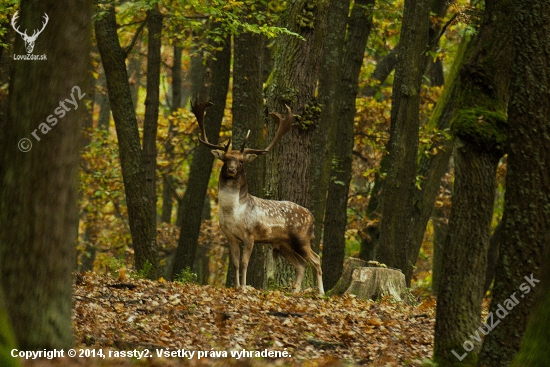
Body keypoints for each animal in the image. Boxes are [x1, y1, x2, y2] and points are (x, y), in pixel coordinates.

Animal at [193, 99, 326, 294]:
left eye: (241, 161)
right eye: (225, 159)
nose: (231, 169)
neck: (233, 212)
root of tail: (312, 217)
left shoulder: (250, 234)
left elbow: (244, 262)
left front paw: (244, 287)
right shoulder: (229, 235)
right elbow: (235, 263)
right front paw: (236, 286)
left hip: (302, 238)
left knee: (315, 259)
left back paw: (321, 292)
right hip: (282, 243)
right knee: (301, 263)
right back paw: (295, 291)